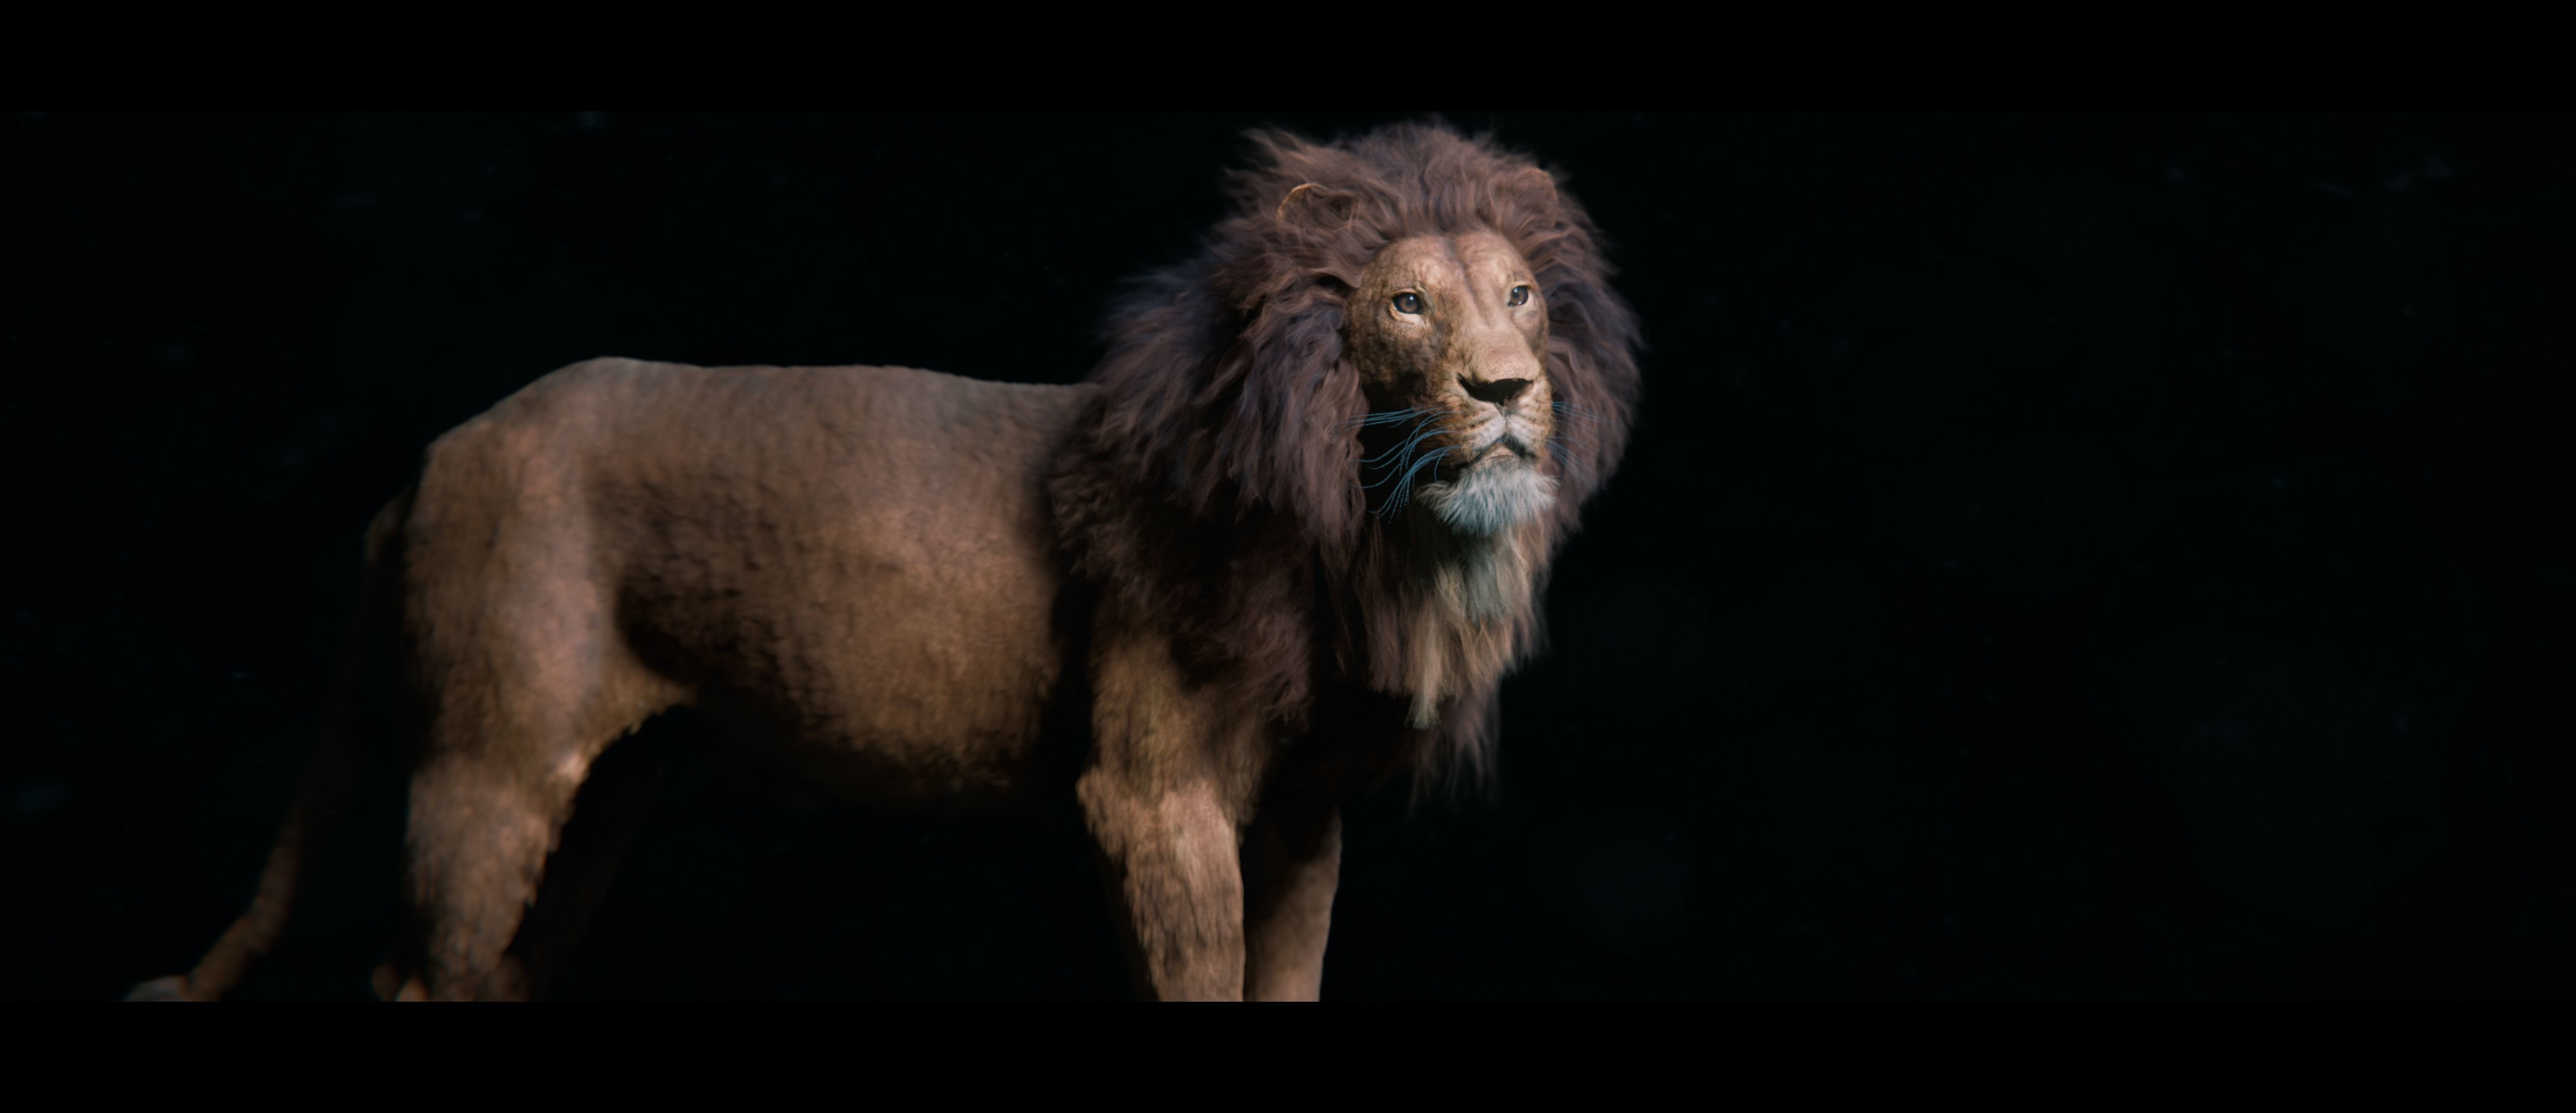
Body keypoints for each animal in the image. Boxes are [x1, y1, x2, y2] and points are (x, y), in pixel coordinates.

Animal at [130, 122, 1640, 1001]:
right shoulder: (1150, 795)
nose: (1510, 389)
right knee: (415, 976)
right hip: (490, 765)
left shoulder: (1303, 816)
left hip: (608, 786)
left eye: (1519, 298)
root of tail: (437, 456)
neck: (1356, 526)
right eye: (1408, 304)